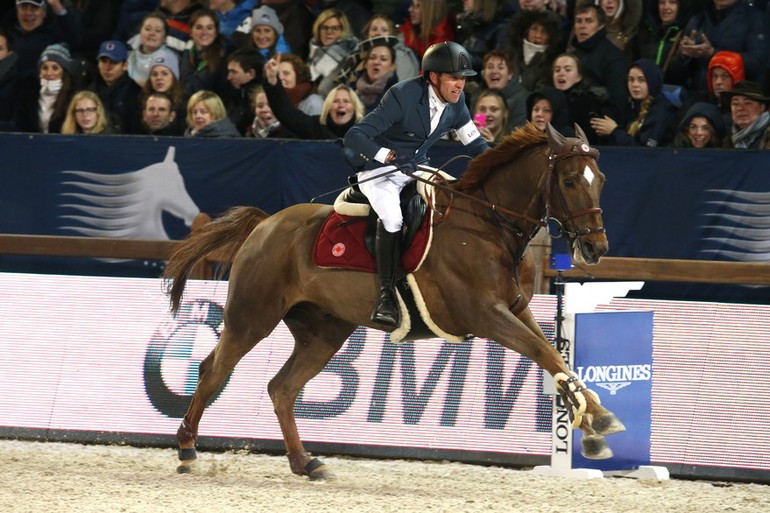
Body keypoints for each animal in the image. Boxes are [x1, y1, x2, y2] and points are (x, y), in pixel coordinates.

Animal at [164, 122, 624, 478]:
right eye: (569, 181)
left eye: (601, 180)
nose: (596, 248)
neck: (487, 223)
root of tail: (266, 223)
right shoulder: (486, 316)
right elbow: (543, 352)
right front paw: (597, 420)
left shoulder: (516, 310)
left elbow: (555, 356)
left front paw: (592, 423)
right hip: (253, 317)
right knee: (212, 370)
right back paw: (187, 449)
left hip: (323, 333)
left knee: (282, 388)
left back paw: (305, 462)